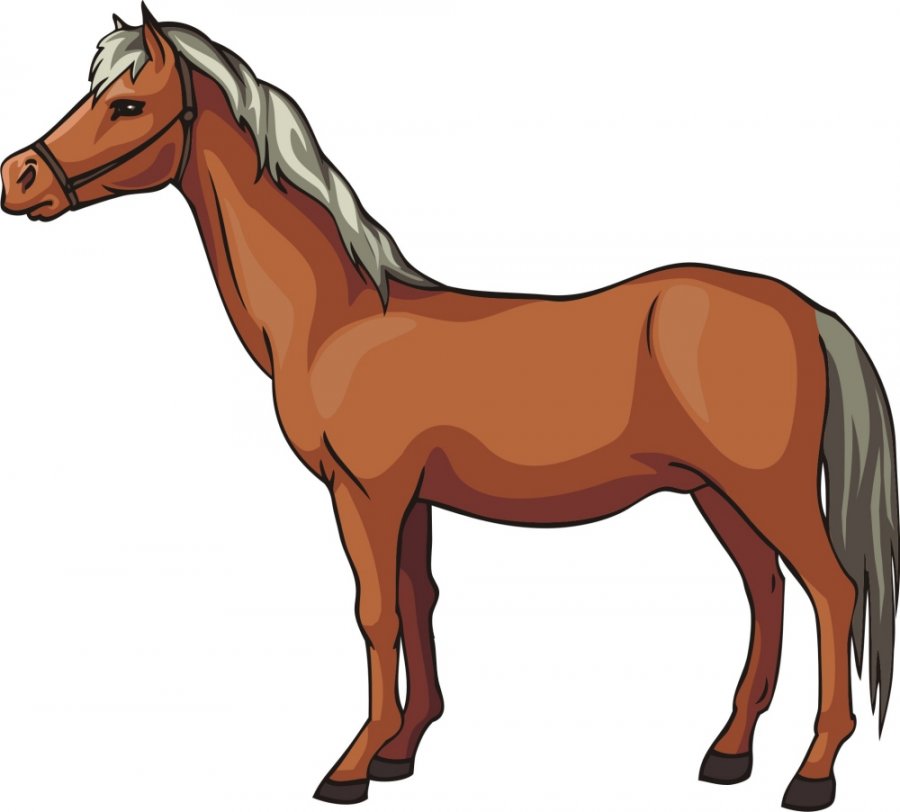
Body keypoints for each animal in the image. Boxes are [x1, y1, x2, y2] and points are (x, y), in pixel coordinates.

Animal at [1, 7, 897, 810]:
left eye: (126, 104)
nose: (18, 177)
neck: (340, 317)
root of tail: (807, 310)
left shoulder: (364, 495)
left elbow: (374, 615)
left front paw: (351, 766)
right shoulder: (410, 500)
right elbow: (415, 601)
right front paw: (400, 750)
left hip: (768, 492)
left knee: (831, 592)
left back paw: (813, 773)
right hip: (718, 494)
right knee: (766, 591)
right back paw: (729, 753)